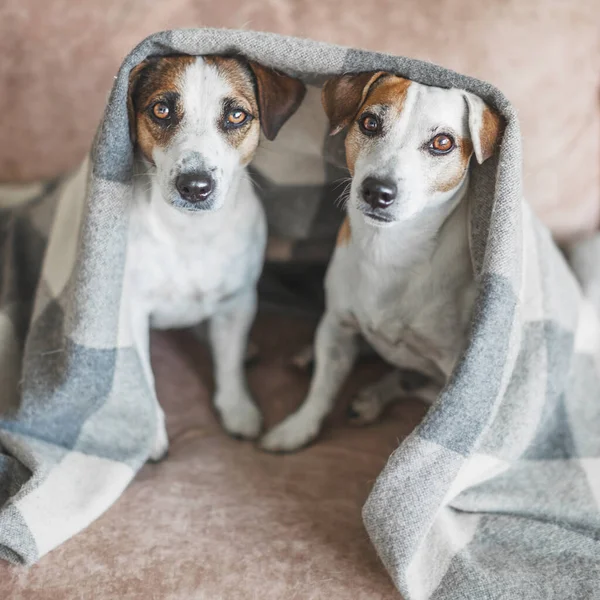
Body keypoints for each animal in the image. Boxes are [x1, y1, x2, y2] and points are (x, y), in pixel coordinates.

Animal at [126, 56, 304, 460]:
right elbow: (143, 375)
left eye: (237, 115)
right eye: (161, 110)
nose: (195, 186)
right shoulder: (130, 310)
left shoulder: (238, 300)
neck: (191, 231)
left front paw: (238, 408)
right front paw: (151, 432)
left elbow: (229, 364)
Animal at [262, 71, 502, 450]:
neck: (388, 251)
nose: (377, 191)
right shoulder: (337, 326)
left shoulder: (454, 371)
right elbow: (321, 390)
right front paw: (296, 430)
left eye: (443, 142)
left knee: (408, 383)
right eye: (370, 123)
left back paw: (373, 398)